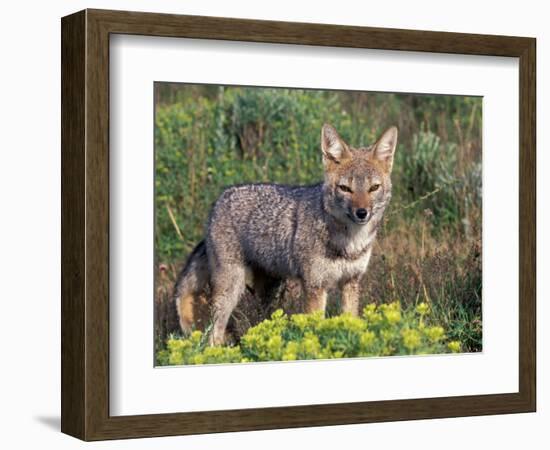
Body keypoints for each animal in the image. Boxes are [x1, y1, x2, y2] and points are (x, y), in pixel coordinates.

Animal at [175, 123, 398, 344]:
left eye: (373, 188)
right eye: (345, 188)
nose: (362, 213)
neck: (350, 242)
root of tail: (219, 200)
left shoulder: (350, 282)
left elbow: (351, 321)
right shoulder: (315, 286)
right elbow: (316, 327)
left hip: (269, 289)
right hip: (231, 289)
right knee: (214, 333)